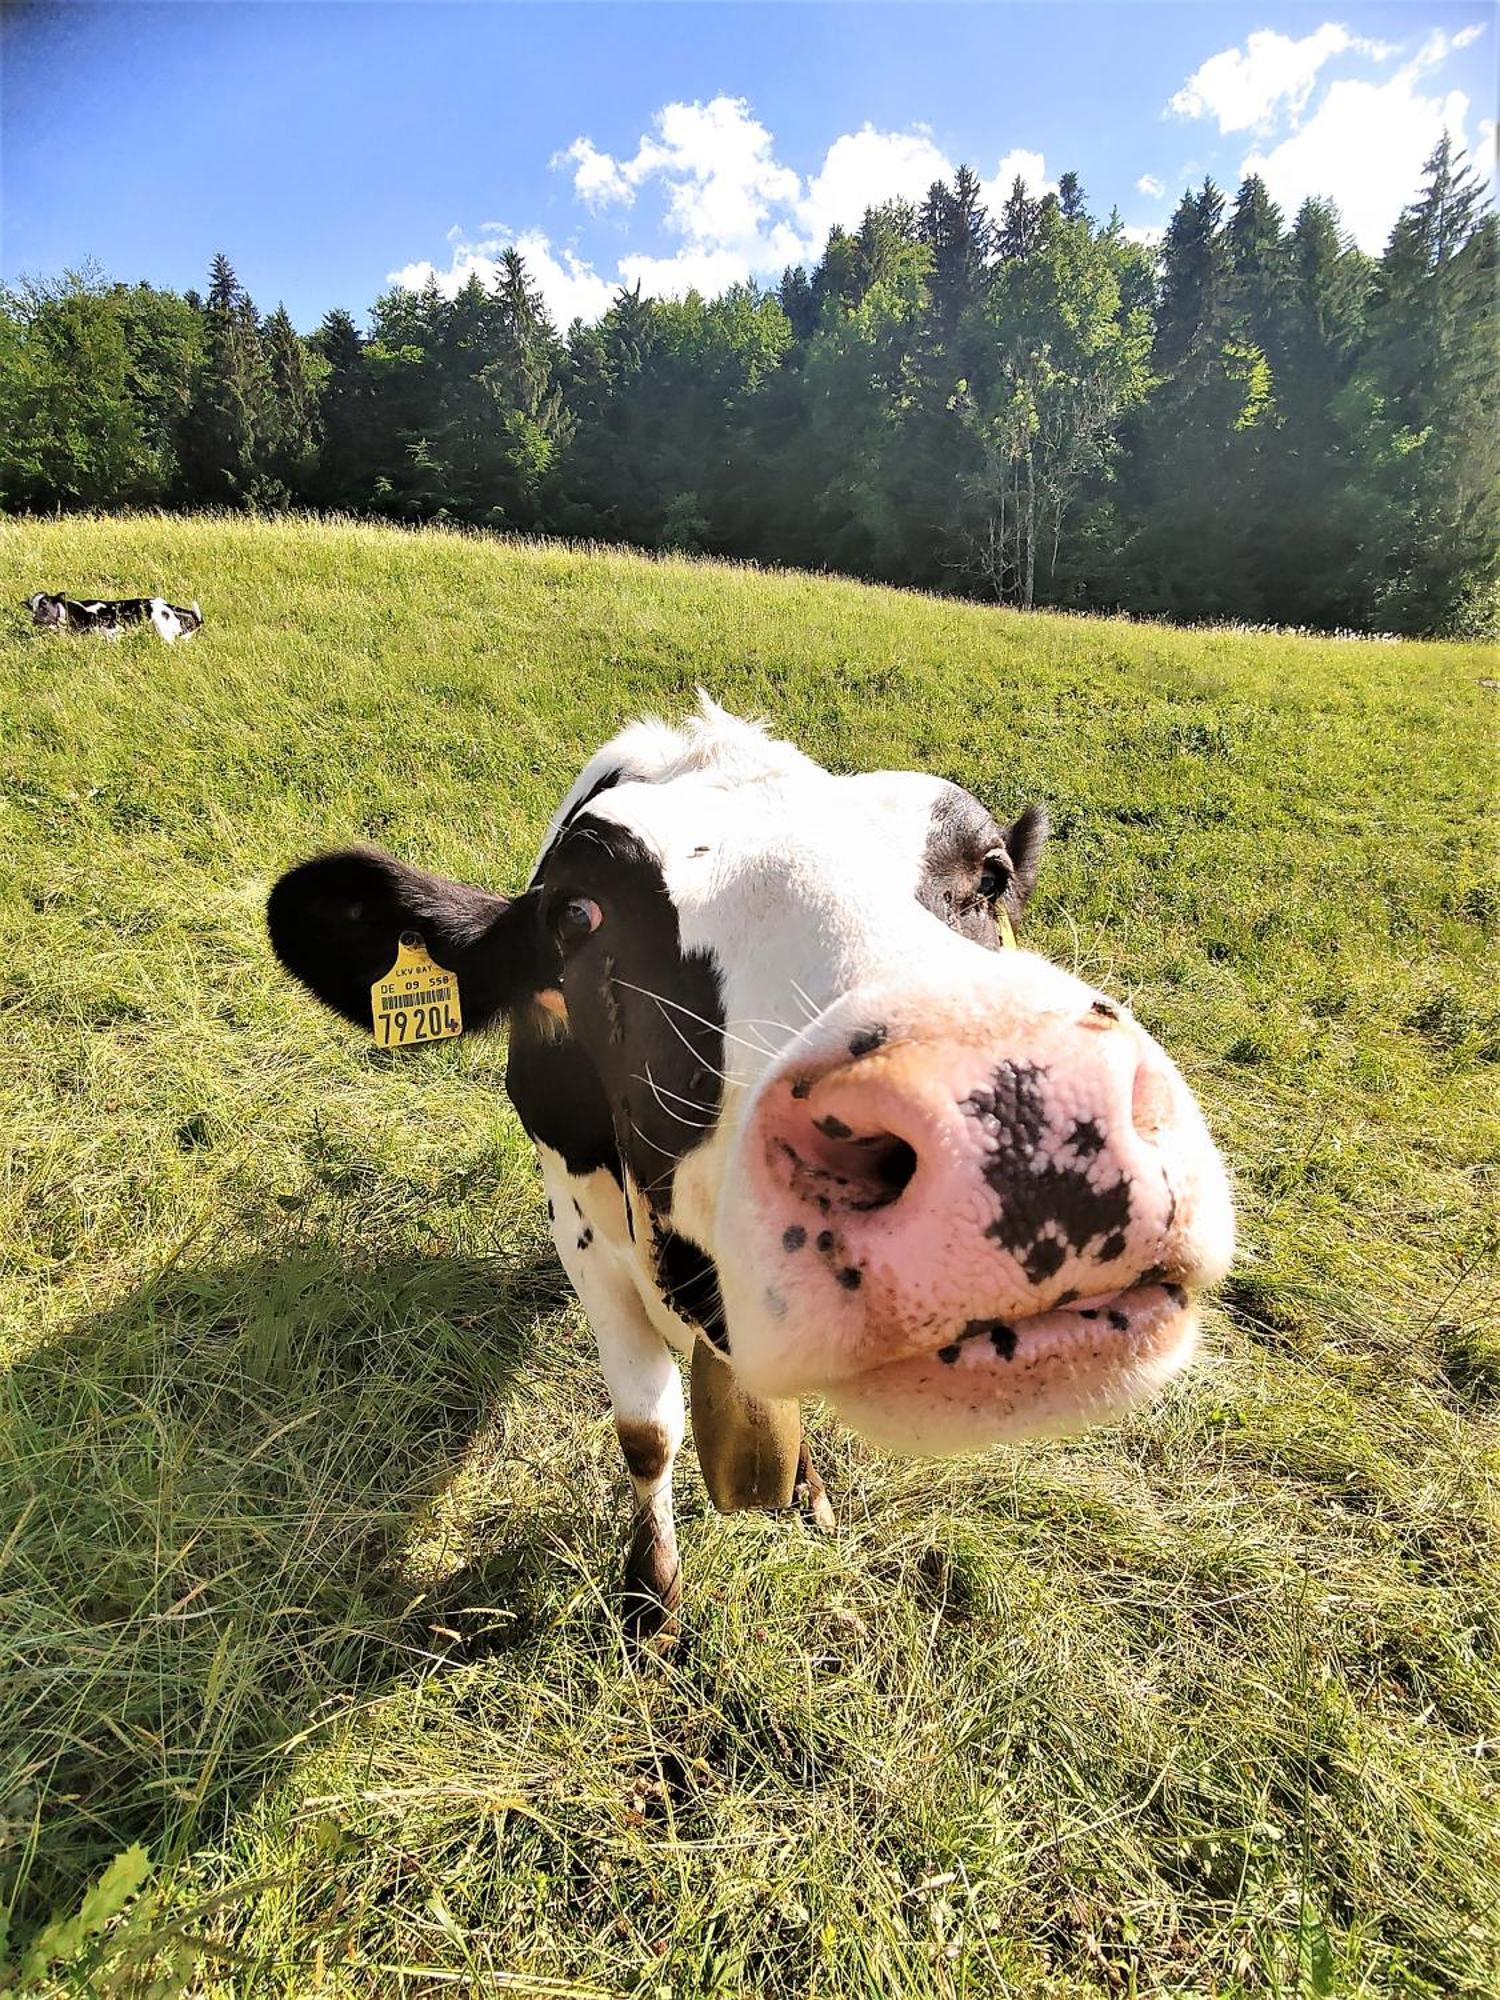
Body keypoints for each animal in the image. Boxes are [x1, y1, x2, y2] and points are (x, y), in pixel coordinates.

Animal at [268, 704, 1232, 1640]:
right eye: (579, 915)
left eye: (990, 877)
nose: (1015, 1111)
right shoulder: (583, 1237)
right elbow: (647, 1431)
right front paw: (651, 1599)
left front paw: (803, 1489)